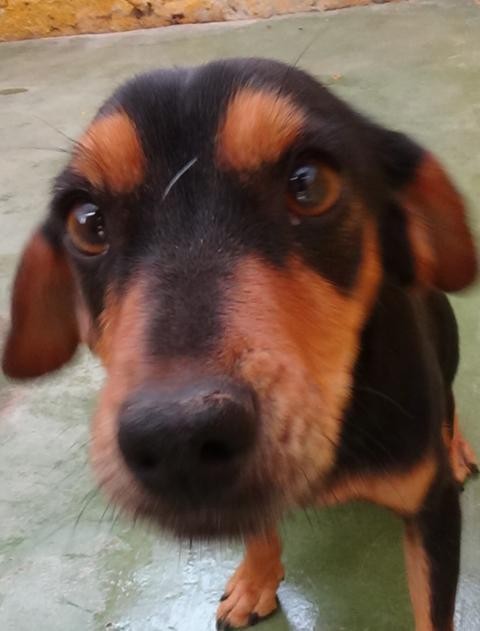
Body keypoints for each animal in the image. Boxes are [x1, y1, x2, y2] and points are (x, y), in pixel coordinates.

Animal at [2, 58, 478, 631]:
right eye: (87, 222)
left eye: (308, 185)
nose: (177, 438)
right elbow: (256, 526)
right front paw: (257, 578)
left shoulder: (434, 510)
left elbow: (433, 609)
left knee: (449, 403)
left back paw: (456, 447)